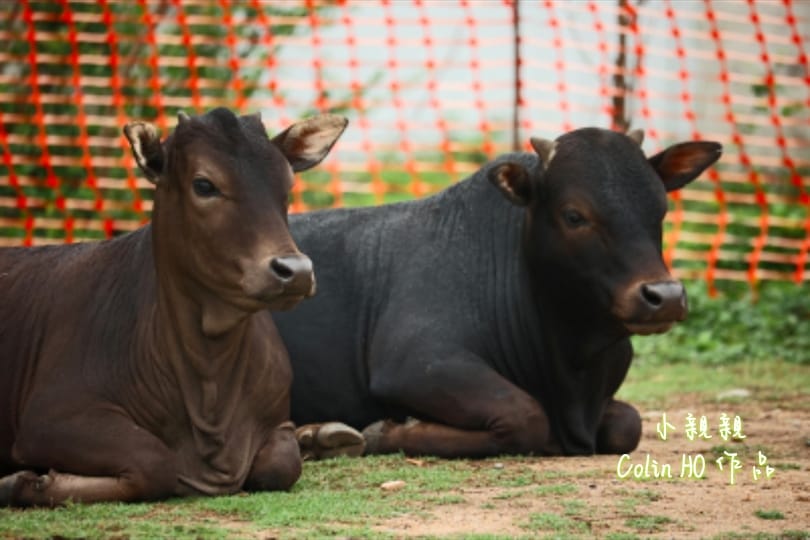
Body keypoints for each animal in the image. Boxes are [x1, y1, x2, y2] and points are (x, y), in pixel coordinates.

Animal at [0, 106, 344, 506]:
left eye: (287, 185)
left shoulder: (279, 420)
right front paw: (25, 481)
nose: (296, 271)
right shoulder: (48, 417)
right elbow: (154, 461)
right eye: (204, 185)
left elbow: (283, 464)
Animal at [274, 129, 720, 458]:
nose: (665, 296)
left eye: (660, 209)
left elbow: (629, 422)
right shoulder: (414, 362)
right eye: (574, 215)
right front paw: (385, 432)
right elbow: (526, 416)